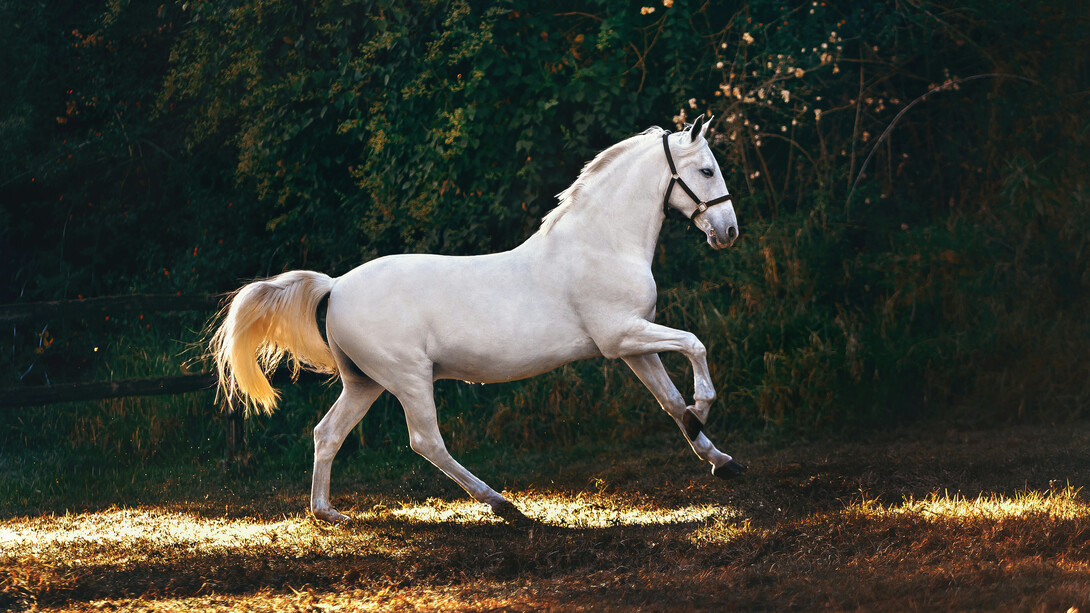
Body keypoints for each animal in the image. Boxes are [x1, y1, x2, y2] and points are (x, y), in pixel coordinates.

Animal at [210, 114, 746, 523]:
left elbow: (670, 402)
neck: (601, 244)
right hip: (408, 377)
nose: (728, 232)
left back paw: (328, 513)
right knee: (426, 441)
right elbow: (695, 345)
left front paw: (720, 459)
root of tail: (336, 286)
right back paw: (503, 505)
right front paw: (704, 407)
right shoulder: (621, 337)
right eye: (706, 170)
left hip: (365, 382)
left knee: (328, 433)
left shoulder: (635, 345)